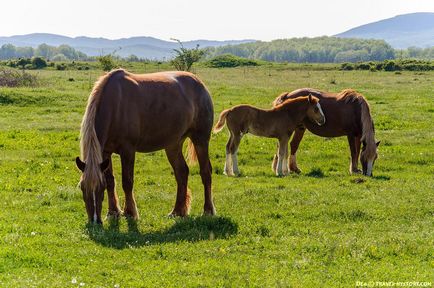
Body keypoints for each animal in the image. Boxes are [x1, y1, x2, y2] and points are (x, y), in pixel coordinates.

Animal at [76, 68, 217, 224]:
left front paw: (130, 212)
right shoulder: (106, 152)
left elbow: (127, 182)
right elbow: (110, 181)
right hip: (173, 145)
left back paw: (208, 210)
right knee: (182, 172)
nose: (95, 221)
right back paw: (177, 211)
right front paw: (113, 212)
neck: (114, 105)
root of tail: (199, 83)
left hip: (200, 140)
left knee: (205, 172)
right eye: (82, 187)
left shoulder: (128, 150)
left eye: (100, 189)